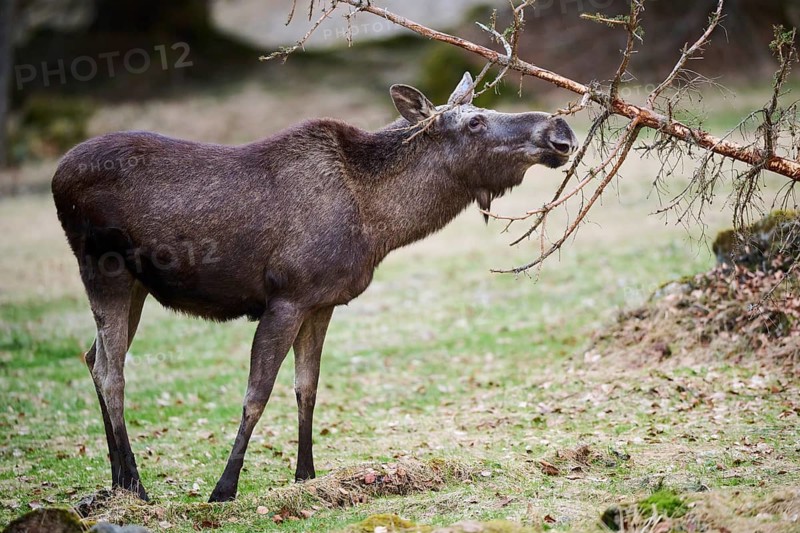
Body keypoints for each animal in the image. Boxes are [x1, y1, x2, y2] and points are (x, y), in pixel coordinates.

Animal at [51, 72, 578, 502]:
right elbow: (257, 394)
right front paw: (225, 488)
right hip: (102, 266)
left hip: (135, 283)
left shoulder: (322, 302)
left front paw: (305, 475)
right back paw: (136, 486)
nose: (561, 132)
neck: (378, 224)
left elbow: (308, 387)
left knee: (92, 357)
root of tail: (57, 176)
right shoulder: (286, 296)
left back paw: (118, 483)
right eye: (475, 123)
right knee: (112, 371)